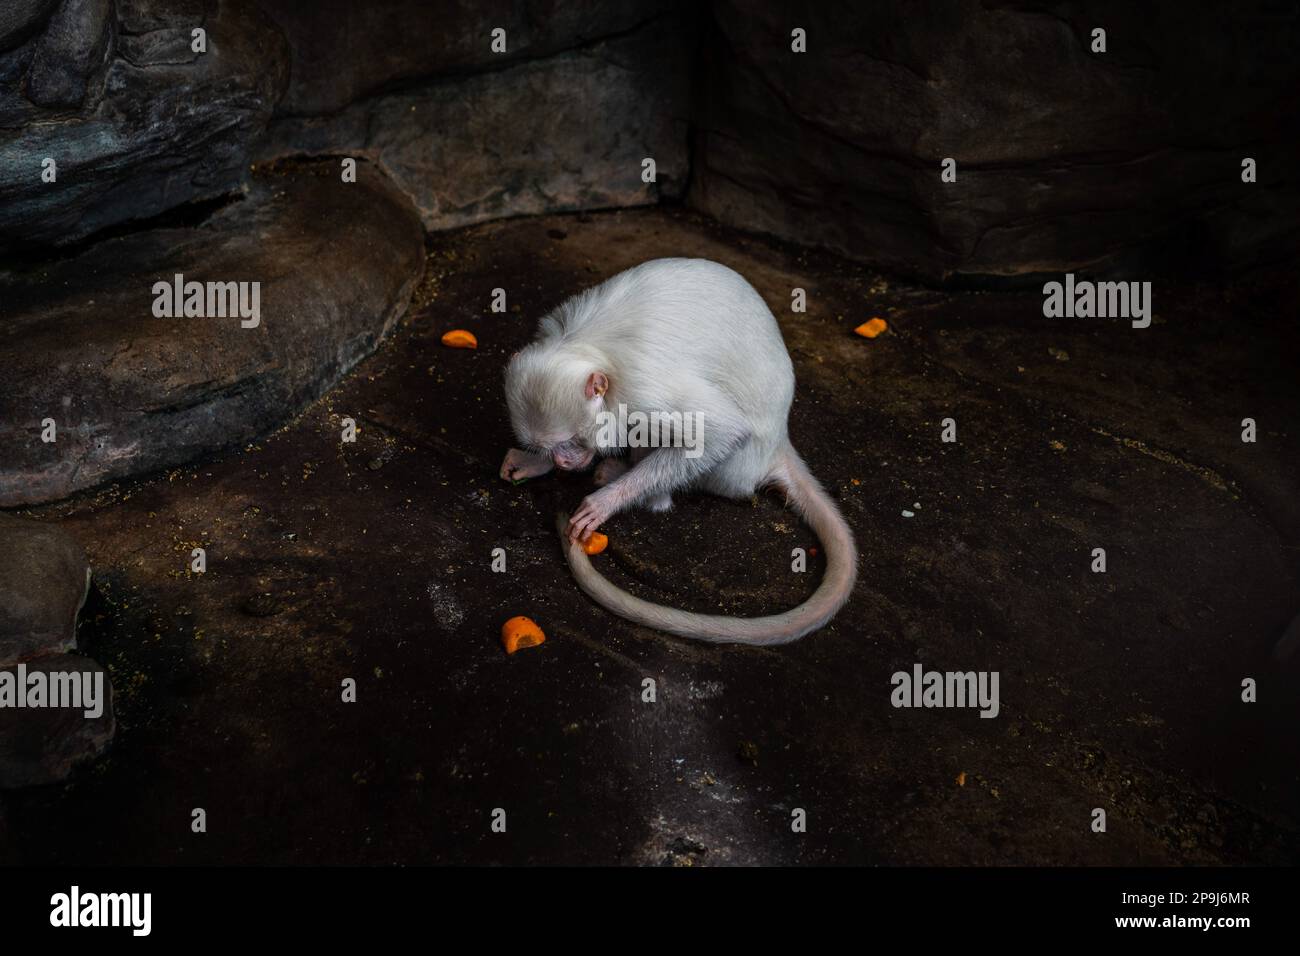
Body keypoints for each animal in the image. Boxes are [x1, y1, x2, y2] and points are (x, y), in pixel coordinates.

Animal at [501, 257, 857, 647]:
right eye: (551, 447)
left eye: (575, 441)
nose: (563, 461)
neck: (583, 346)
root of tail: (779, 442)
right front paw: (534, 463)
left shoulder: (641, 391)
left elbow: (719, 432)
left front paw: (604, 502)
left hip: (733, 469)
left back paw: (640, 490)